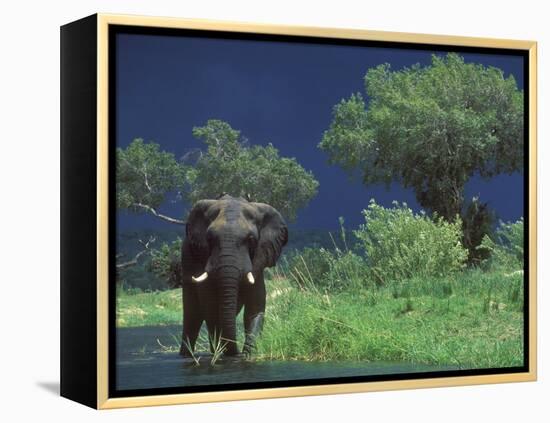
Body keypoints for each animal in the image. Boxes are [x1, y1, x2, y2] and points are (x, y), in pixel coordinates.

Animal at [180, 195, 288, 358]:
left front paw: (247, 354)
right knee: (192, 316)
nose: (236, 353)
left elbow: (254, 309)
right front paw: (224, 352)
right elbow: (210, 307)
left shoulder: (258, 262)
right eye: (210, 239)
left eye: (251, 240)